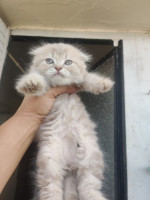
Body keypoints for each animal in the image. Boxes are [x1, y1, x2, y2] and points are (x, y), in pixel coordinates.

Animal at [15, 43, 113, 200]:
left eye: (68, 62)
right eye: (49, 61)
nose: (58, 68)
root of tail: (69, 165)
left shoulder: (78, 84)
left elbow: (88, 78)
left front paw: (103, 83)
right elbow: (36, 77)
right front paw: (31, 84)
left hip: (90, 160)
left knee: (89, 188)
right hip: (49, 162)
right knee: (51, 190)